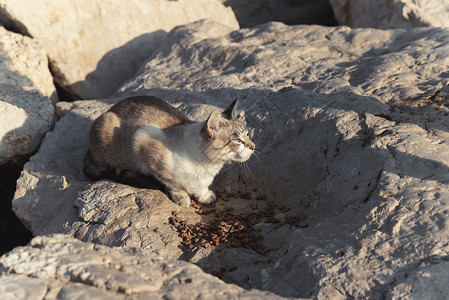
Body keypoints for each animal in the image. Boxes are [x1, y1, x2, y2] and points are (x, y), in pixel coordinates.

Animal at [82, 95, 254, 206]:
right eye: (237, 140)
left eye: (247, 134)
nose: (253, 147)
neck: (209, 166)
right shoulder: (143, 142)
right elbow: (173, 184)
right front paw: (182, 198)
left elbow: (201, 188)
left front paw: (204, 196)